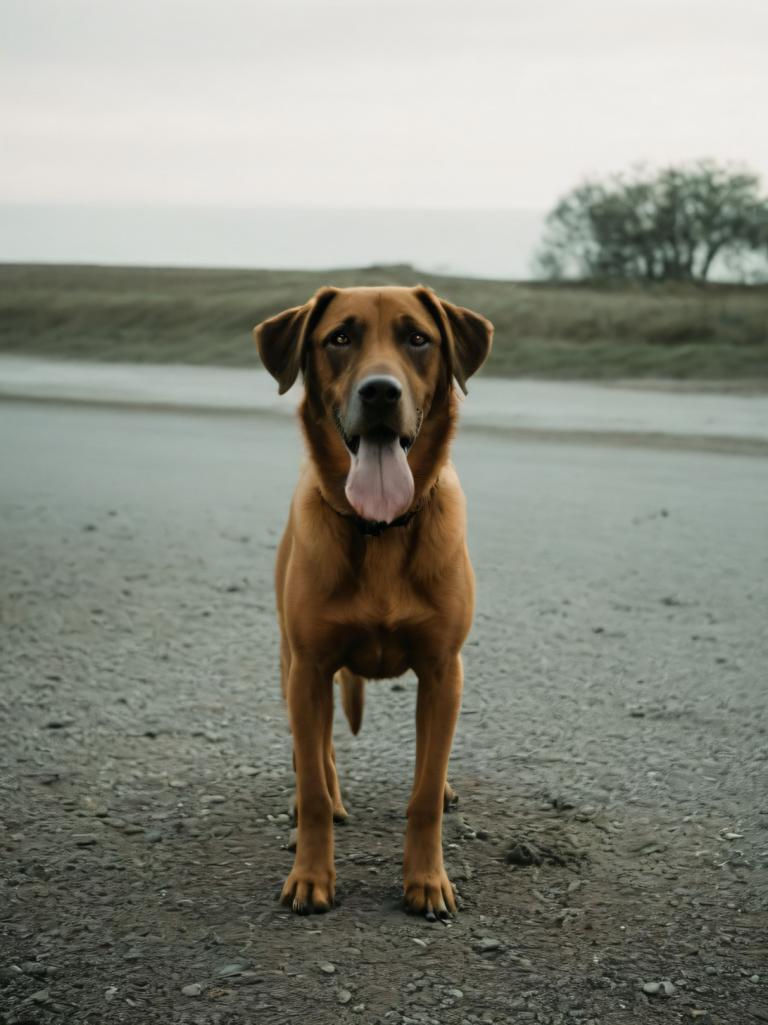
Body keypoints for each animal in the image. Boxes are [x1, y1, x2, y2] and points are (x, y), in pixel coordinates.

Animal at [251, 284, 492, 918]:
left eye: (418, 338)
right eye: (339, 337)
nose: (380, 391)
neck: (380, 529)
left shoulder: (443, 672)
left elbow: (424, 792)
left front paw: (427, 880)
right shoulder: (310, 668)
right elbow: (313, 780)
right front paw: (311, 876)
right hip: (291, 664)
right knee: (315, 751)